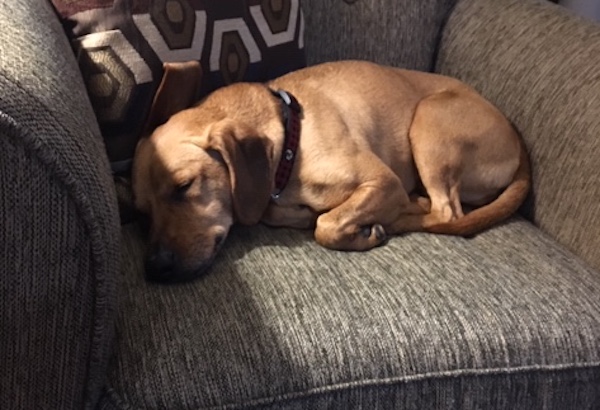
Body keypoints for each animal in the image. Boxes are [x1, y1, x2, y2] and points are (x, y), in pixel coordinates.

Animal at [132, 59, 528, 282]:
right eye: (141, 212)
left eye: (184, 186)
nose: (155, 267)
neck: (291, 139)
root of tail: (518, 142)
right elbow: (281, 213)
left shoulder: (382, 181)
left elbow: (327, 225)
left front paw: (357, 228)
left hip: (429, 120)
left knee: (446, 212)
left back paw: (396, 217)